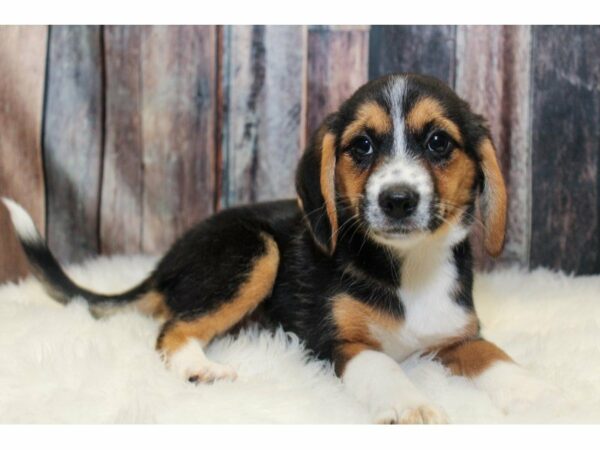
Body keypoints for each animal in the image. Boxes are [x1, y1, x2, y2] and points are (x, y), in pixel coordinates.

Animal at [2, 73, 556, 422]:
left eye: (440, 142)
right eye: (362, 146)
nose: (397, 200)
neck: (408, 268)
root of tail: (166, 261)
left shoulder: (458, 336)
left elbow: (495, 356)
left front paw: (537, 394)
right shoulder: (338, 342)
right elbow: (383, 368)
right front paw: (411, 405)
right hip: (255, 251)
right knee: (171, 329)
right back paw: (200, 367)